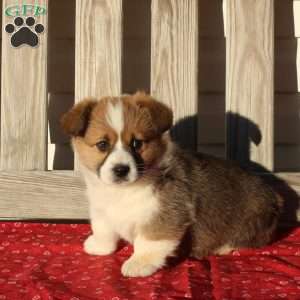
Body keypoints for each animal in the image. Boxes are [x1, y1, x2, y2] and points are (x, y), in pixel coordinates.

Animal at [61, 92, 284, 278]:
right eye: (102, 144)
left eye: (137, 143)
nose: (121, 169)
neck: (123, 191)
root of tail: (276, 197)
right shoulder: (102, 210)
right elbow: (103, 230)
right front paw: (99, 246)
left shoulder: (164, 216)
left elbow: (148, 242)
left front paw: (138, 263)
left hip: (252, 220)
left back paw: (223, 247)